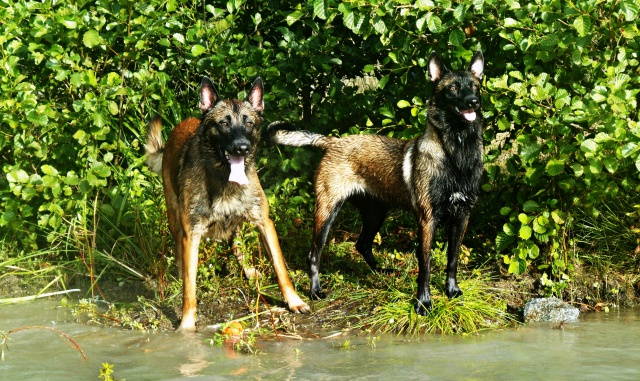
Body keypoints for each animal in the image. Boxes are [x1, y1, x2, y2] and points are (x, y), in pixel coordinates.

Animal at [148, 76, 312, 330]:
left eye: (249, 123)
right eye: (224, 123)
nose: (242, 147)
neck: (224, 180)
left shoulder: (265, 223)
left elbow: (281, 268)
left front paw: (294, 301)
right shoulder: (192, 233)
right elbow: (189, 290)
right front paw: (186, 324)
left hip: (239, 223)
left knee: (236, 246)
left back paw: (250, 271)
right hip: (176, 220)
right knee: (181, 252)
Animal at [268, 50, 482, 314]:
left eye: (475, 86)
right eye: (453, 88)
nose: (473, 101)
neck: (456, 154)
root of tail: (332, 141)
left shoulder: (462, 216)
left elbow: (452, 259)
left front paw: (452, 291)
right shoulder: (427, 220)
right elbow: (425, 265)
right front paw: (423, 302)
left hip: (376, 214)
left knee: (362, 244)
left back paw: (380, 271)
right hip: (327, 213)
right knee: (314, 255)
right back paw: (315, 291)